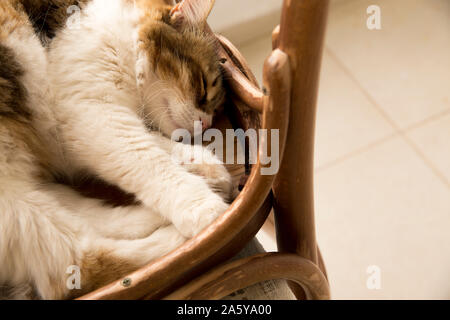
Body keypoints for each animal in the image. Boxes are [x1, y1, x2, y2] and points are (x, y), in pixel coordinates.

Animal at [0, 0, 230, 300]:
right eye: (204, 86)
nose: (208, 123)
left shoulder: (80, 137)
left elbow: (160, 145)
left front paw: (207, 167)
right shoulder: (95, 114)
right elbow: (154, 164)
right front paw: (206, 209)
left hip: (27, 189)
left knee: (87, 216)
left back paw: (151, 216)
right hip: (16, 202)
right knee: (80, 264)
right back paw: (184, 239)